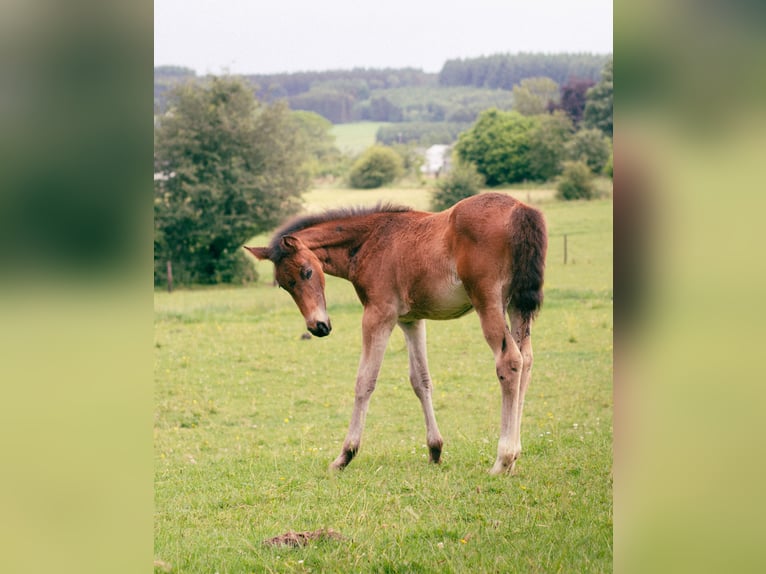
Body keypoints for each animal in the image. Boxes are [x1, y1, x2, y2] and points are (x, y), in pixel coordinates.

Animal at [246, 194, 544, 476]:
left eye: (307, 272)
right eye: (284, 285)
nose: (317, 326)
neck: (370, 241)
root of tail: (520, 209)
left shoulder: (378, 315)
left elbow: (365, 381)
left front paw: (344, 456)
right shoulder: (411, 320)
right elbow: (420, 380)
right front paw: (435, 451)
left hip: (488, 301)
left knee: (509, 361)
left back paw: (502, 460)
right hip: (517, 304)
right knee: (526, 360)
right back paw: (514, 459)